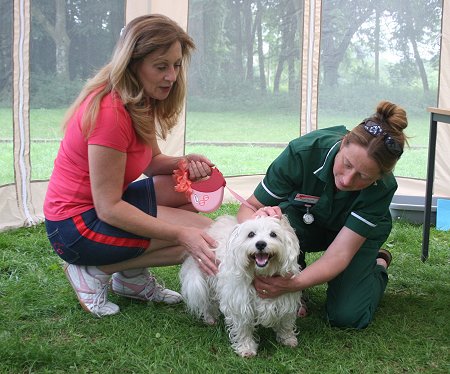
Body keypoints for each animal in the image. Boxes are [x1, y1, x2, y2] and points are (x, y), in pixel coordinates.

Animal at [180, 213, 302, 356]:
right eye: (251, 234)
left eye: (273, 234)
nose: (261, 244)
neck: (260, 272)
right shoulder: (240, 304)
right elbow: (243, 328)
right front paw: (246, 348)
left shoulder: (286, 299)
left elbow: (285, 322)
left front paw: (288, 339)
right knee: (208, 302)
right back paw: (210, 318)